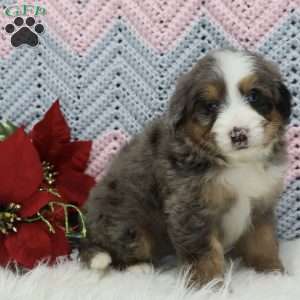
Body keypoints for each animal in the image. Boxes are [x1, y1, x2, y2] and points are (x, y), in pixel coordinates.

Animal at [79, 48, 290, 286]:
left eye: (254, 96)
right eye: (211, 106)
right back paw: (137, 267)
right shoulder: (190, 209)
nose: (238, 134)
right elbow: (204, 254)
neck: (237, 163)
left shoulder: (260, 205)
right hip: (128, 226)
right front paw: (210, 285)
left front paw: (272, 273)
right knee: (117, 251)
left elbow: (263, 242)